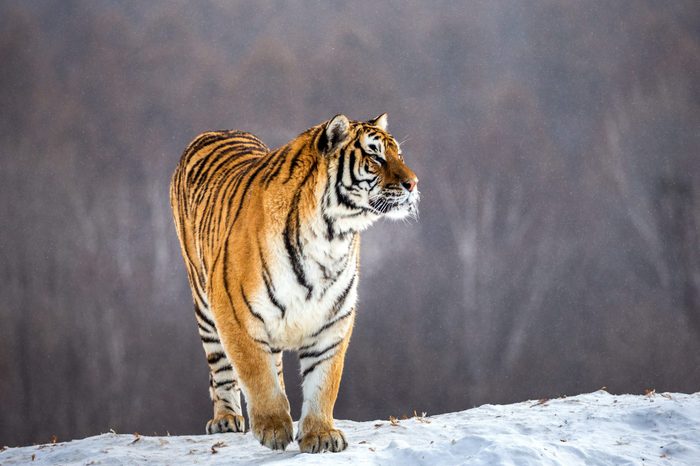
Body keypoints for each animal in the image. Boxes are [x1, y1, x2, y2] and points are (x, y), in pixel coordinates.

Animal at [169, 113, 419, 453]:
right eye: (375, 156)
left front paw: (321, 435)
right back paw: (226, 419)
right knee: (221, 367)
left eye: (399, 155)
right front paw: (273, 429)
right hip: (205, 303)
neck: (331, 235)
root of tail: (216, 130)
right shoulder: (234, 310)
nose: (413, 183)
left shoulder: (333, 318)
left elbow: (323, 382)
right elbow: (256, 373)